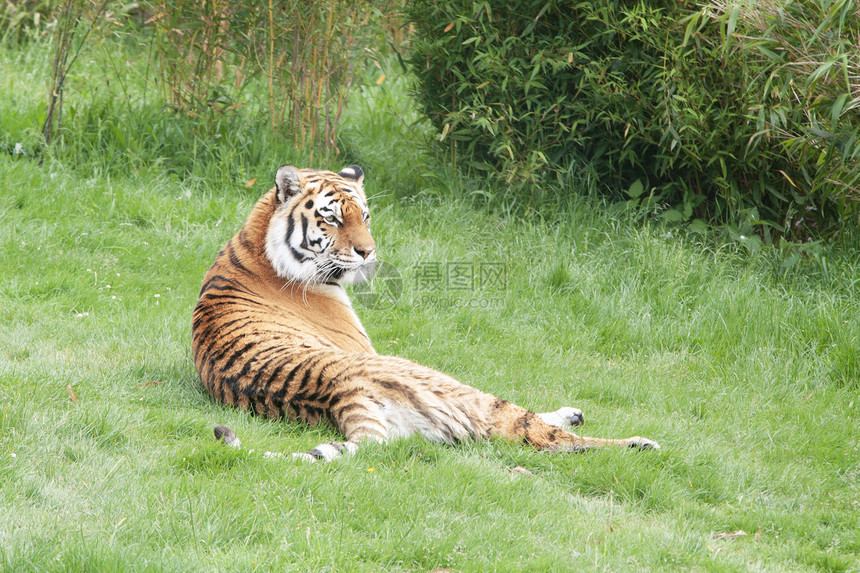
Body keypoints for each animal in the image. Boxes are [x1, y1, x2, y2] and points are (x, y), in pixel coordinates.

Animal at [190, 165, 660, 460]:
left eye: (364, 216)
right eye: (332, 219)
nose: (368, 252)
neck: (259, 244)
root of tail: (340, 394)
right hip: (446, 385)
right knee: (535, 433)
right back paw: (639, 444)